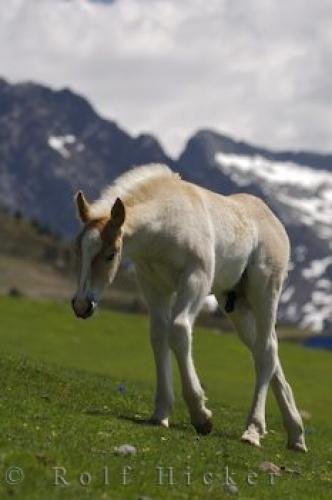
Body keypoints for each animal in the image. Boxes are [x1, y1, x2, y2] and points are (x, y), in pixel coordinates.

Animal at [71, 162, 308, 452]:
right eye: (78, 250)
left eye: (110, 254)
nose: (82, 305)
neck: (166, 221)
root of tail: (275, 221)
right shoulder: (153, 285)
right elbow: (159, 336)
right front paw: (161, 413)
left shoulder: (197, 279)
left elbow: (179, 331)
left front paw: (201, 416)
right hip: (235, 304)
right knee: (265, 351)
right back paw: (296, 434)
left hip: (265, 292)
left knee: (265, 350)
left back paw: (253, 430)